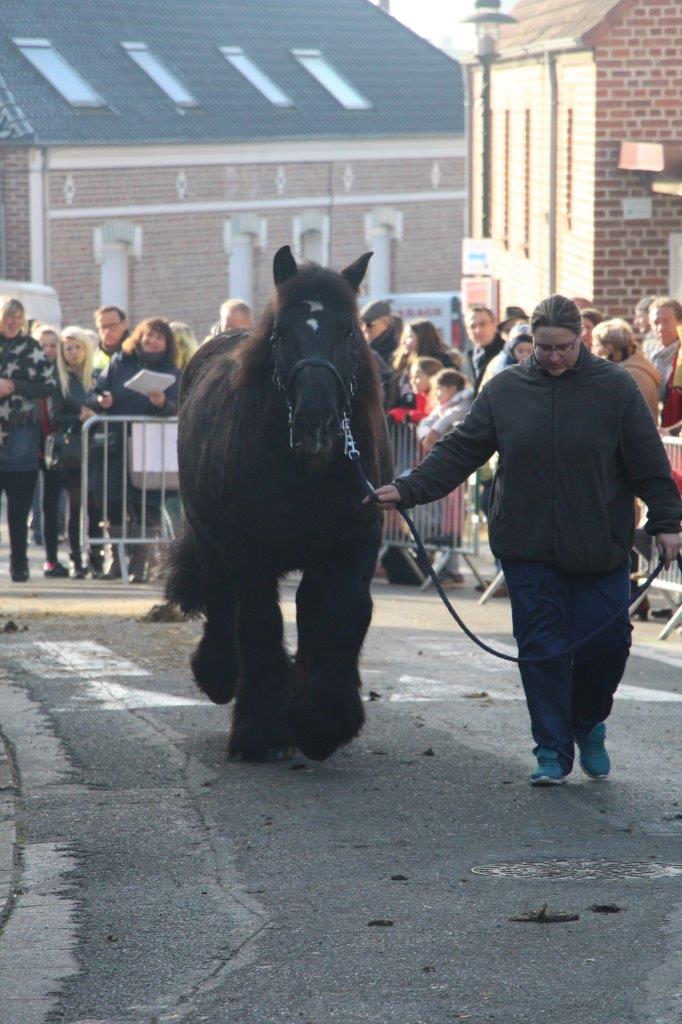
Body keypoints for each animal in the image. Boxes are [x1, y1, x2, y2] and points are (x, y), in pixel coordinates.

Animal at [166, 245, 391, 761]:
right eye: (282, 333)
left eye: (348, 331)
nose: (316, 419)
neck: (306, 473)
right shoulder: (248, 551)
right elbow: (259, 623)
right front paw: (262, 728)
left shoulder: (355, 541)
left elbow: (345, 612)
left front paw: (323, 720)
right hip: (209, 538)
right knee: (222, 602)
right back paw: (220, 674)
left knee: (308, 609)